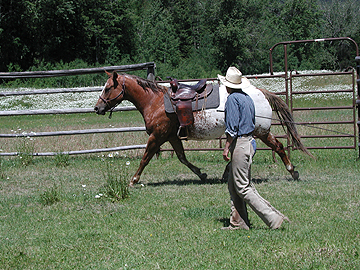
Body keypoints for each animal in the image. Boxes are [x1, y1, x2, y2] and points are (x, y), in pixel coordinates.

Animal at [94, 70, 310, 187]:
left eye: (108, 88)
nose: (97, 108)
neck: (154, 102)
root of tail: (262, 92)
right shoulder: (172, 136)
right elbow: (182, 158)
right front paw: (201, 174)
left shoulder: (157, 136)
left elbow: (145, 158)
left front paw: (133, 180)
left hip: (261, 131)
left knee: (277, 147)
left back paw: (292, 171)